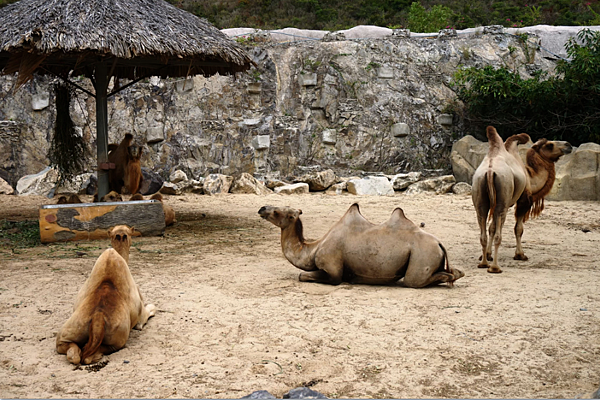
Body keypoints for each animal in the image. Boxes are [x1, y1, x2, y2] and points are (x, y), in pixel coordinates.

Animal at [55, 225, 156, 366]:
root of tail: (98, 317)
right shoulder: (141, 316)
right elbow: (151, 309)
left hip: (70, 330)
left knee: (73, 354)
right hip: (118, 339)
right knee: (91, 355)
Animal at [258, 203, 464, 288]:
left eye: (277, 213)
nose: (262, 208)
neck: (313, 248)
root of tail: (439, 243)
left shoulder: (333, 269)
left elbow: (302, 275)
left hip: (423, 255)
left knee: (414, 281)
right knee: (454, 272)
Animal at [474, 126, 572, 274]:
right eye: (550, 145)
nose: (569, 145)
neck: (530, 178)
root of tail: (490, 171)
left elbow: (491, 227)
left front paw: (488, 255)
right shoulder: (523, 201)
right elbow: (518, 228)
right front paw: (520, 255)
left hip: (481, 198)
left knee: (483, 231)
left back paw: (484, 263)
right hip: (503, 200)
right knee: (499, 234)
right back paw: (495, 267)